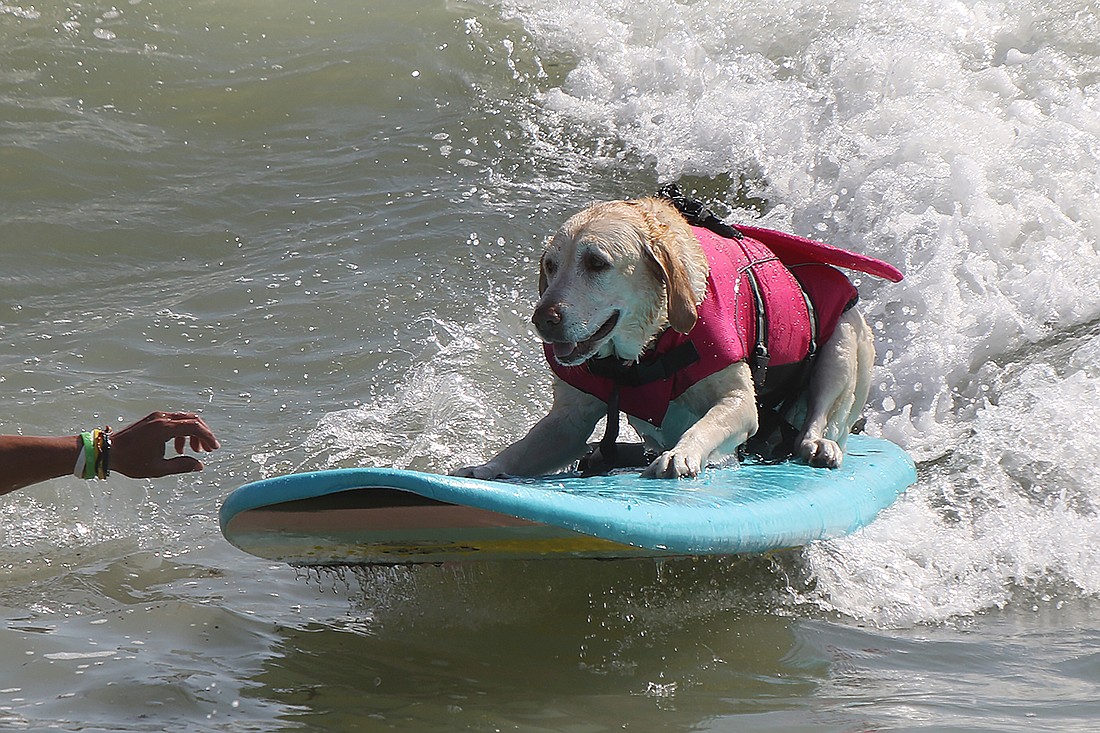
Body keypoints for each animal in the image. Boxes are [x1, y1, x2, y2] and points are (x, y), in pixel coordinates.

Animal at [456, 191, 899, 479]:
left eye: (596, 262)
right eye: (550, 265)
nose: (542, 319)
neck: (648, 349)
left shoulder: (739, 402)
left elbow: (708, 423)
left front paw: (681, 454)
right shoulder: (569, 420)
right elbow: (525, 447)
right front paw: (485, 468)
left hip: (844, 344)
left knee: (824, 415)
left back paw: (818, 445)